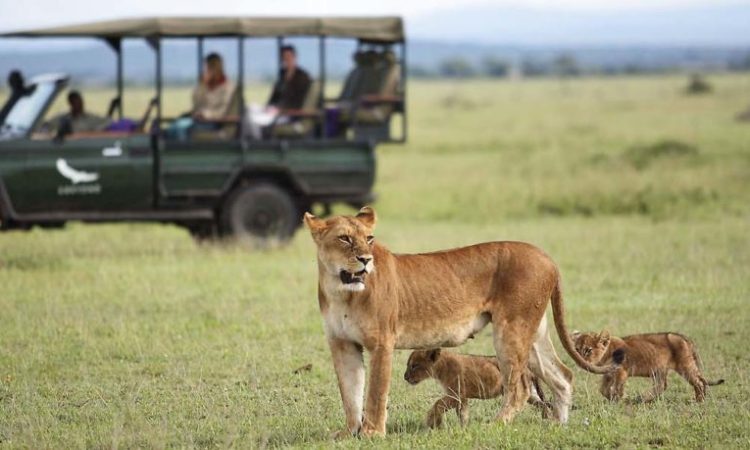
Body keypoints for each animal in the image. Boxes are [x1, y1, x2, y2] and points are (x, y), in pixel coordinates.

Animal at [302, 207, 620, 436]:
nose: (366, 260)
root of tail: (546, 257)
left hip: (511, 329)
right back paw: (558, 425)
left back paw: (496, 425)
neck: (341, 291)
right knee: (563, 376)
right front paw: (349, 433)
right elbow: (350, 392)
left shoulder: (381, 343)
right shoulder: (342, 344)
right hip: (534, 332)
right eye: (344, 238)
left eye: (369, 239)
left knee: (519, 387)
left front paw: (371, 433)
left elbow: (375, 393)